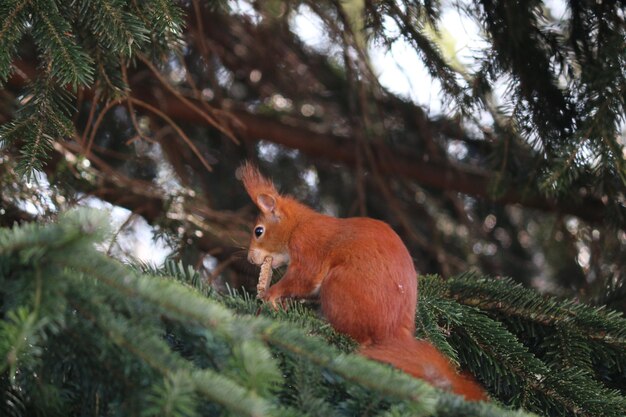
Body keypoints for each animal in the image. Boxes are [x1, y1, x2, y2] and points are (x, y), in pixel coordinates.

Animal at [236, 162, 486, 400]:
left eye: (258, 231)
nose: (250, 259)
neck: (299, 224)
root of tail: (393, 333)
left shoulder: (307, 246)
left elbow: (304, 278)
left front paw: (271, 294)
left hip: (338, 288)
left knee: (358, 337)